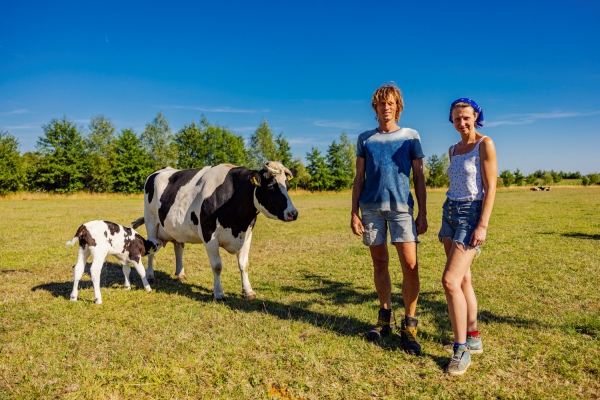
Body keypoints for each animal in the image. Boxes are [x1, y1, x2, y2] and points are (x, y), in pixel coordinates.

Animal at [133, 162, 298, 300]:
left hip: (176, 229)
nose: (293, 213)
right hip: (151, 222)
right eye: (271, 186)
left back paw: (181, 275)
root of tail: (160, 170)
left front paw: (248, 291)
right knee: (151, 250)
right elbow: (217, 266)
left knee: (178, 248)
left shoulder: (247, 235)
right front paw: (218, 293)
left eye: (288, 186)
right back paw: (150, 276)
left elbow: (244, 264)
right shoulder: (209, 235)